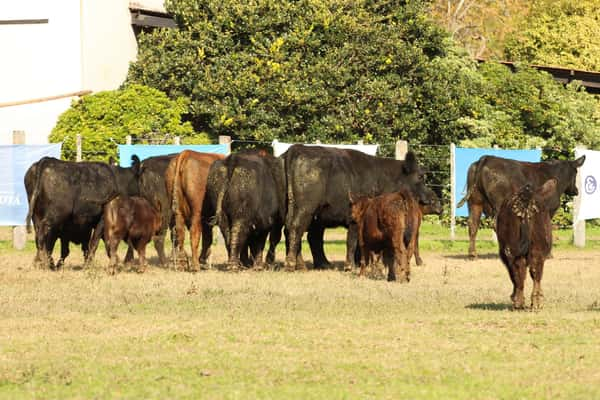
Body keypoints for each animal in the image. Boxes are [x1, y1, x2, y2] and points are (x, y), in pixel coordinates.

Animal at [284, 144, 434, 272]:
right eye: (420, 177)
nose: (431, 198)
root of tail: (298, 148)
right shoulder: (355, 220)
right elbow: (353, 241)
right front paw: (351, 266)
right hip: (305, 209)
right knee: (296, 229)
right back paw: (292, 264)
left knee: (297, 232)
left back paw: (307, 265)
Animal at [492, 177, 556, 310]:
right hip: (537, 248)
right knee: (534, 270)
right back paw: (535, 302)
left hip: (512, 250)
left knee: (520, 270)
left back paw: (519, 302)